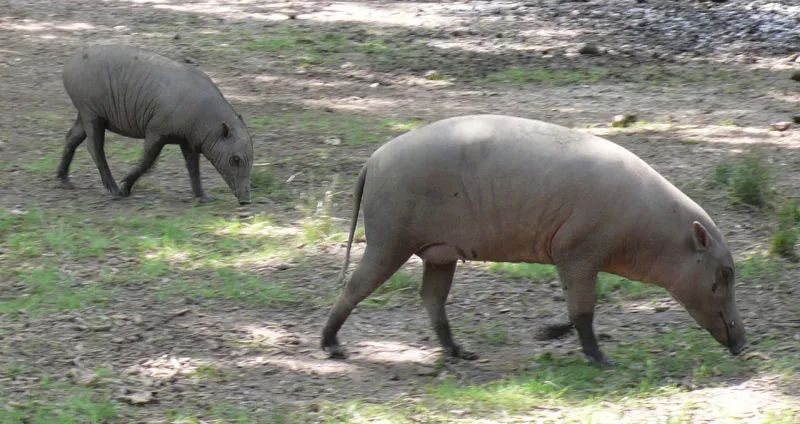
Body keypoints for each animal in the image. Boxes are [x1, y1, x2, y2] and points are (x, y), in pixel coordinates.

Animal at [57, 44, 252, 204]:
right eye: (235, 159)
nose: (246, 201)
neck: (205, 118)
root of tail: (69, 64)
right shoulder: (156, 132)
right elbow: (147, 162)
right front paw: (125, 187)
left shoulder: (187, 142)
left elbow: (193, 169)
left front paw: (203, 197)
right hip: (92, 114)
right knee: (94, 148)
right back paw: (112, 188)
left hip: (84, 115)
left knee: (71, 138)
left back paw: (62, 179)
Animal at [322, 114, 748, 366]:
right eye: (724, 274)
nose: (743, 344)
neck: (650, 230)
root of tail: (372, 161)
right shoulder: (578, 252)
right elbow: (584, 311)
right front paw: (602, 360)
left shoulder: (575, 259)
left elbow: (577, 309)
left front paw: (548, 334)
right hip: (389, 240)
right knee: (355, 287)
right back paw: (332, 346)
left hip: (439, 253)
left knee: (431, 298)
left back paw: (460, 352)